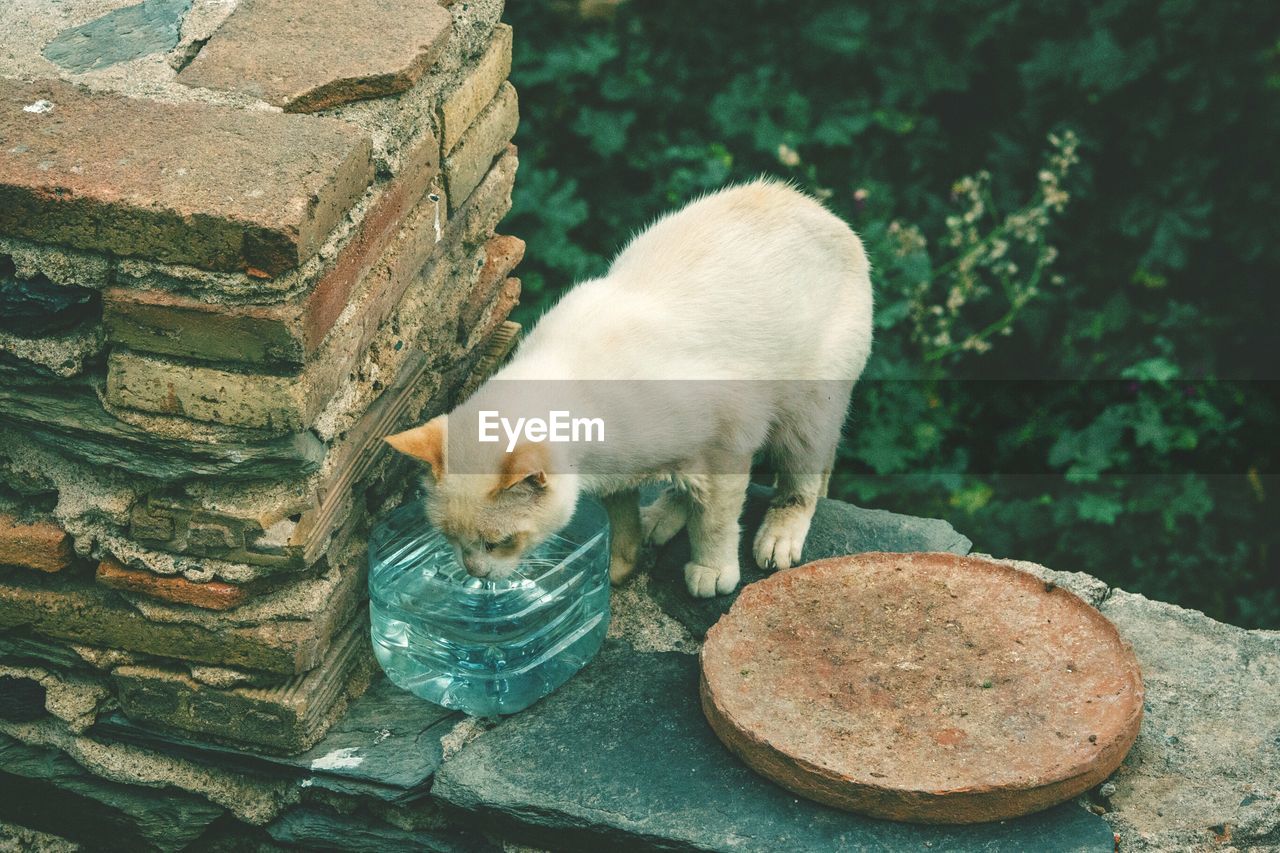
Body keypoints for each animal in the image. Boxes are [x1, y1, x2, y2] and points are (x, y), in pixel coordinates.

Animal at [384, 175, 875, 594]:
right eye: (450, 539)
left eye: (498, 542)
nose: (473, 572)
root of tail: (817, 207)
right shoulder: (621, 472)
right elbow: (623, 522)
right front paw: (618, 568)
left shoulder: (728, 443)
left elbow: (716, 521)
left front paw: (711, 570)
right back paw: (661, 517)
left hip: (808, 412)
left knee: (801, 484)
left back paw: (776, 538)